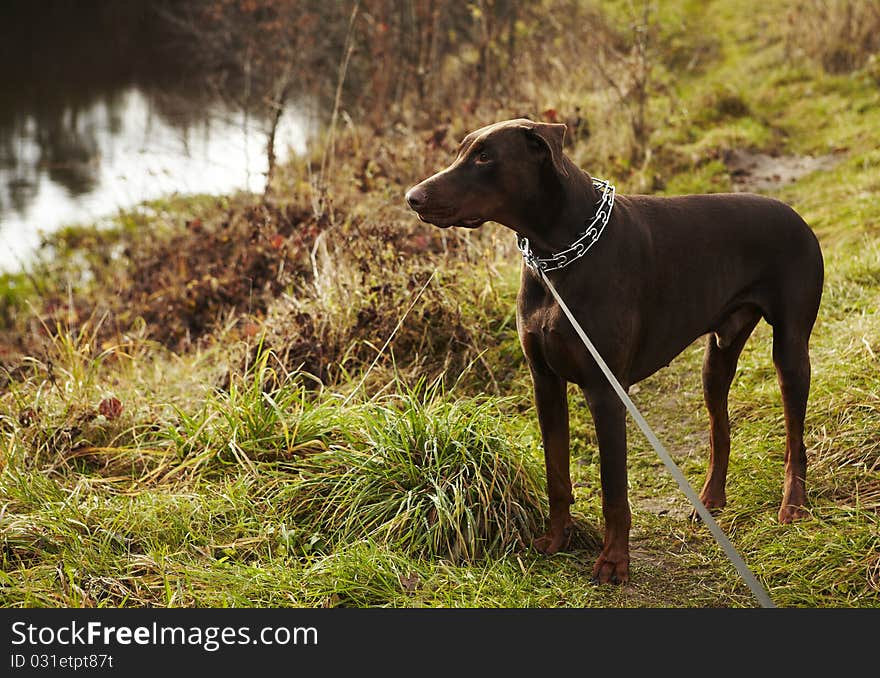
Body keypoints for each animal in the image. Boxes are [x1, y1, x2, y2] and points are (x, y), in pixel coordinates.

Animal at [406, 119, 824, 588]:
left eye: (484, 156)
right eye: (461, 151)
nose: (412, 197)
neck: (557, 255)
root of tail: (795, 215)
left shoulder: (605, 392)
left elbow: (614, 491)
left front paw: (613, 561)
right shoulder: (544, 382)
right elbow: (556, 474)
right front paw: (557, 539)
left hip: (790, 350)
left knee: (794, 438)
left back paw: (793, 504)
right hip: (717, 357)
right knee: (720, 429)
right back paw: (711, 499)